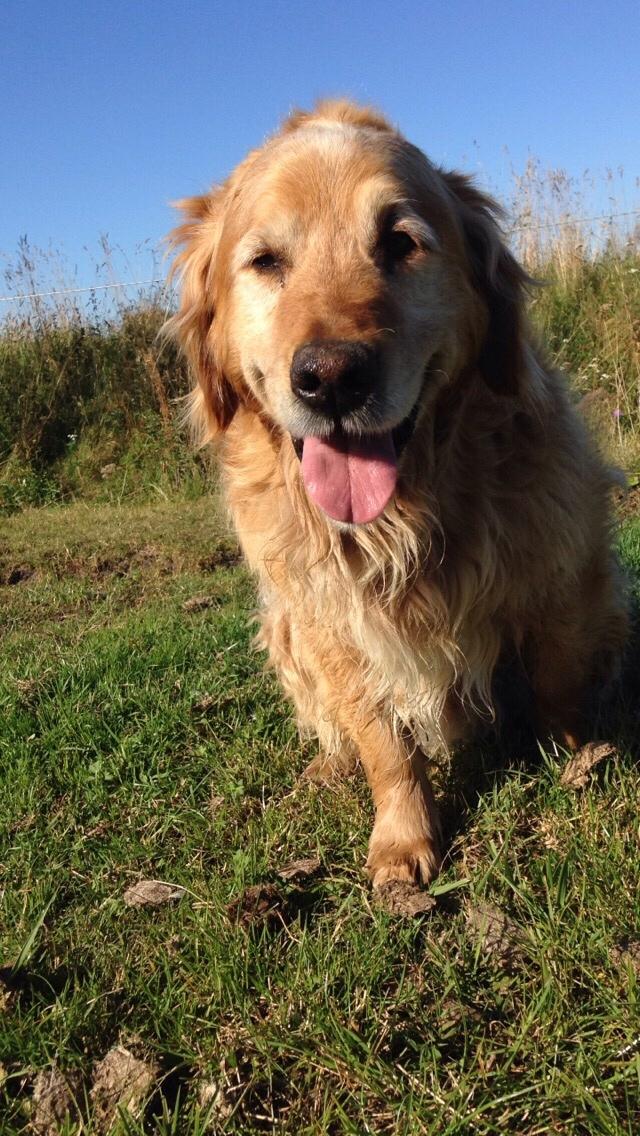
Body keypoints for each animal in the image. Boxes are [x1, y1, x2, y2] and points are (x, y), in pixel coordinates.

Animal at [168, 102, 627, 886]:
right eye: (266, 262)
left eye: (399, 242)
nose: (331, 379)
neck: (403, 520)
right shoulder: (330, 620)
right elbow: (383, 740)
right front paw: (403, 838)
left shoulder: (564, 567)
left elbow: (558, 677)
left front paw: (580, 755)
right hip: (285, 628)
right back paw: (327, 768)